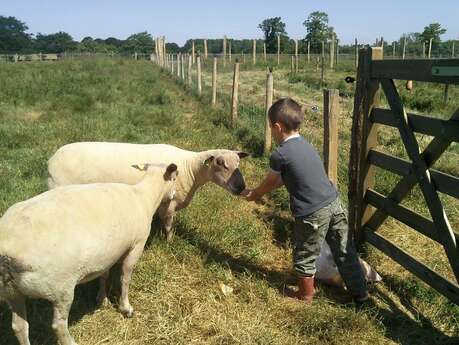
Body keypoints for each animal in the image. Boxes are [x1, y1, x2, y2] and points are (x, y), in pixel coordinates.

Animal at [0, 162, 178, 344]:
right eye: (174, 178)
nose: (174, 195)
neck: (144, 196)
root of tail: (7, 249)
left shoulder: (107, 254)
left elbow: (104, 275)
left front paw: (101, 299)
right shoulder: (137, 245)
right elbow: (125, 278)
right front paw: (126, 308)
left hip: (11, 292)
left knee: (19, 327)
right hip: (59, 290)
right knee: (58, 326)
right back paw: (71, 341)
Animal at [48, 141, 250, 241]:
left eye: (238, 163)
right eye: (220, 163)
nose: (242, 187)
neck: (190, 168)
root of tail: (51, 161)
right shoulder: (170, 203)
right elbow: (168, 226)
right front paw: (168, 242)